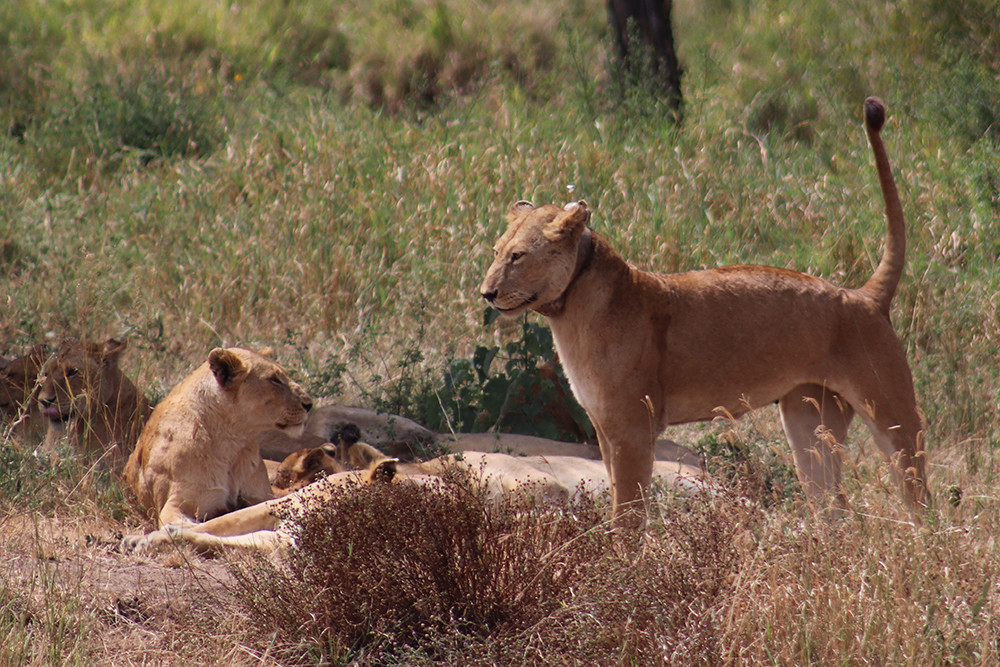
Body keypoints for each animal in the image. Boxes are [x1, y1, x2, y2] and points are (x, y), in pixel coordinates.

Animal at [479, 97, 928, 526]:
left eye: (518, 256)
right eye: (497, 251)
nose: (486, 293)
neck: (569, 310)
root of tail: (863, 296)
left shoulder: (632, 427)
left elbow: (628, 514)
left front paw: (618, 555)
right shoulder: (604, 428)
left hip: (891, 413)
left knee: (919, 499)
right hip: (808, 415)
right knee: (834, 507)